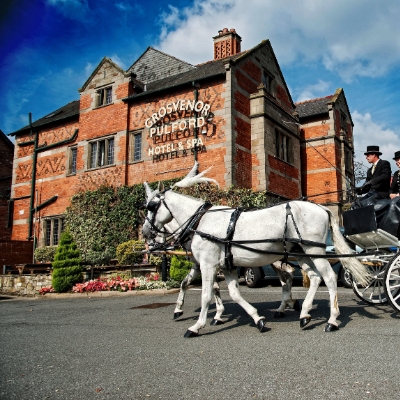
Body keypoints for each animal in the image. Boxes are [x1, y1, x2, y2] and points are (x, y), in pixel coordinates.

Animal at [142, 164, 370, 336]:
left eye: (151, 207)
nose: (145, 234)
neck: (201, 221)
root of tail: (322, 208)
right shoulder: (225, 266)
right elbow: (233, 293)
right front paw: (257, 318)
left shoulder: (207, 264)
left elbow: (206, 294)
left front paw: (197, 325)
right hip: (301, 253)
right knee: (312, 277)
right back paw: (303, 313)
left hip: (314, 250)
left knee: (328, 278)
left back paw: (331, 320)